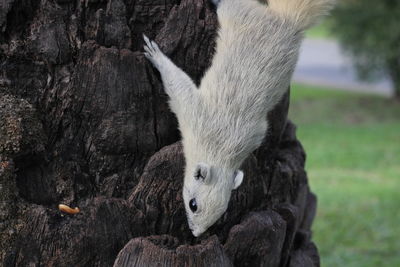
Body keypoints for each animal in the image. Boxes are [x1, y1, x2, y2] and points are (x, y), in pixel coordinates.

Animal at [144, 0, 334, 237]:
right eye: (193, 204)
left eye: (222, 211)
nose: (196, 234)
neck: (223, 147)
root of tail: (287, 20)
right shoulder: (194, 112)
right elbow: (178, 85)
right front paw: (156, 56)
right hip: (238, 14)